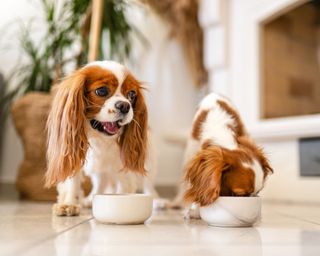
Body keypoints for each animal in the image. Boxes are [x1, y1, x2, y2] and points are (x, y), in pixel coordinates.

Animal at [45, 60, 162, 216]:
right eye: (101, 91)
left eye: (131, 94)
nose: (125, 106)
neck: (100, 138)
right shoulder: (71, 153)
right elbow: (72, 182)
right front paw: (68, 204)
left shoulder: (124, 167)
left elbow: (124, 188)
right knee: (100, 182)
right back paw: (90, 199)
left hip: (150, 159)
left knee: (148, 184)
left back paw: (157, 201)